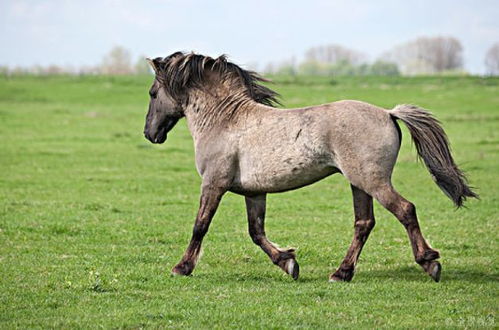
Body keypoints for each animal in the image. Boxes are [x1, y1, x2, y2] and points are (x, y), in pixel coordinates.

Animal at [142, 52, 476, 282]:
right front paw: (288, 262)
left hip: (373, 180)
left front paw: (181, 267)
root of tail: (387, 113)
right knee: (364, 223)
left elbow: (200, 225)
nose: (150, 134)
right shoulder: (253, 191)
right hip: (358, 183)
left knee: (405, 209)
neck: (226, 120)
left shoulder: (214, 183)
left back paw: (429, 261)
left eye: (152, 93)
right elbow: (256, 231)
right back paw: (341, 273)